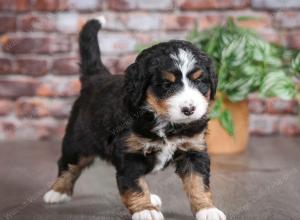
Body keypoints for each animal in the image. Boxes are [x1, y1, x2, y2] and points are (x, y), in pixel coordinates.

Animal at [43, 17, 226, 220]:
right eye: (166, 85)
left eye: (199, 81)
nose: (189, 109)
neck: (162, 119)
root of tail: (96, 78)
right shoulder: (129, 153)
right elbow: (134, 185)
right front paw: (145, 210)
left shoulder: (193, 149)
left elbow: (198, 183)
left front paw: (207, 209)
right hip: (78, 141)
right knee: (68, 164)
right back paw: (57, 191)